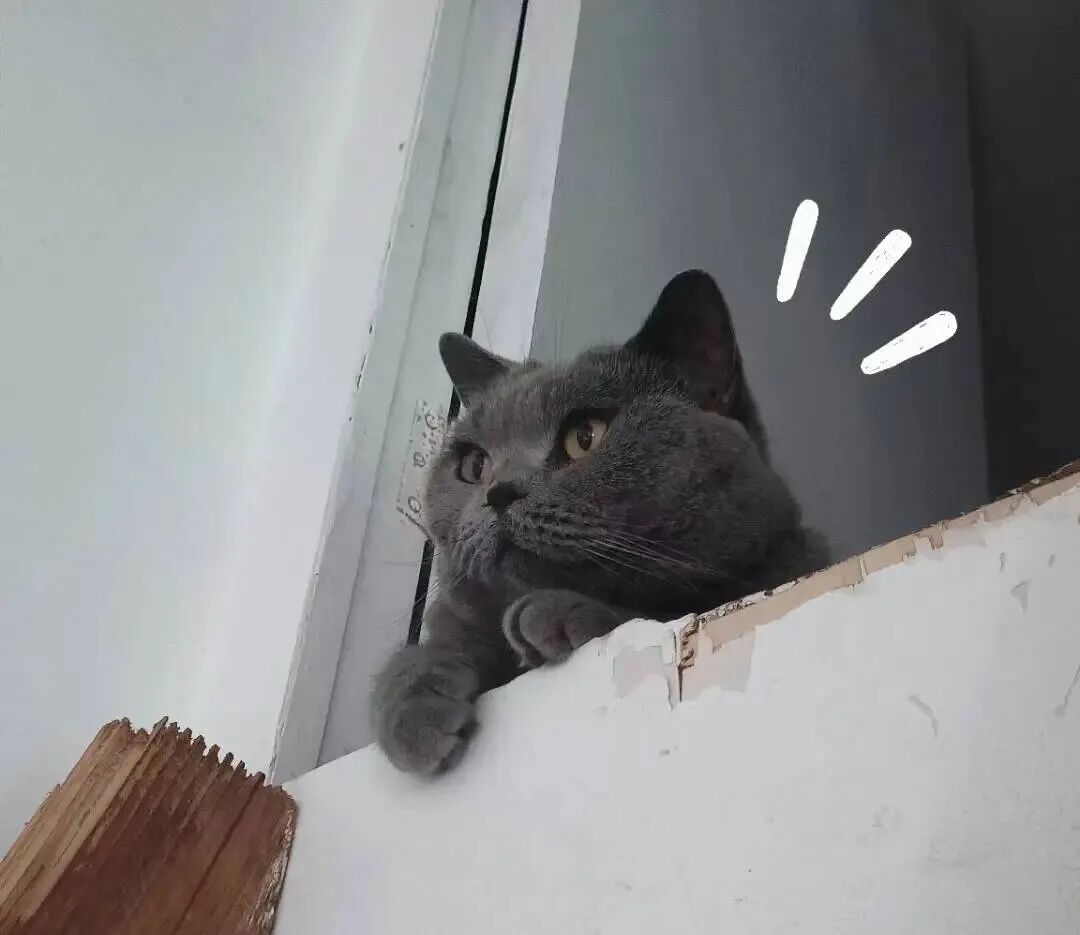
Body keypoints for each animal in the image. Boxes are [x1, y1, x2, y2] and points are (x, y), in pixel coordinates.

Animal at [372, 270, 829, 774]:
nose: (498, 492)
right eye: (474, 466)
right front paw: (414, 707)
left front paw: (558, 612)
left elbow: (654, 614)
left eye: (585, 436)